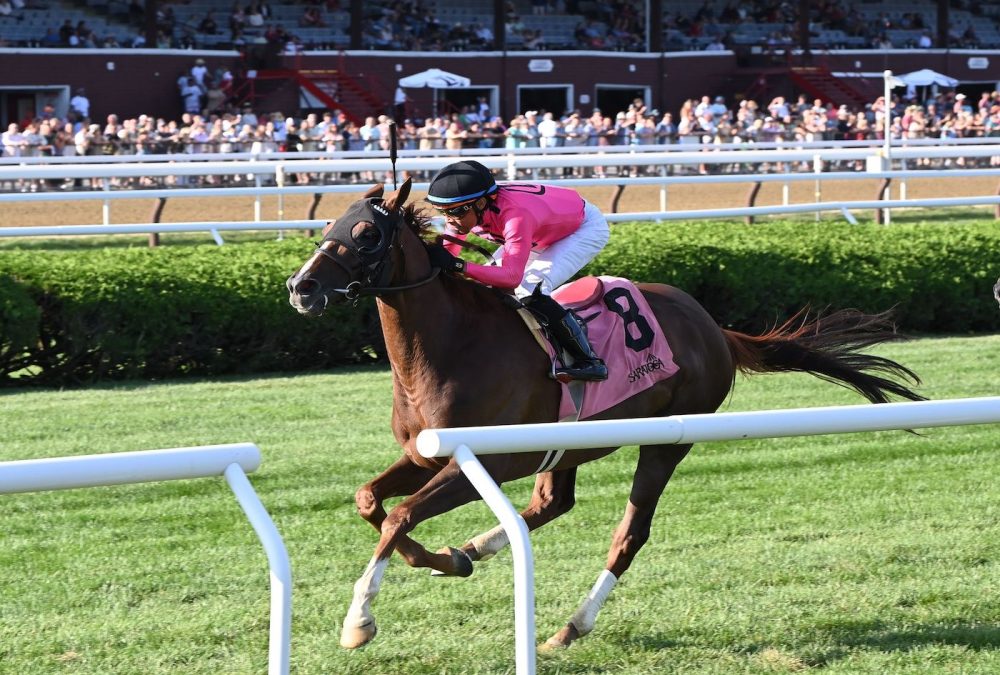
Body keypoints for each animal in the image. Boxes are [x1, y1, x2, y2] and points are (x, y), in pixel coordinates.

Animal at [284, 178, 920, 648]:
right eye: (328, 225)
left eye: (366, 233)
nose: (301, 287)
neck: (451, 343)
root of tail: (714, 327)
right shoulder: (425, 454)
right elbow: (372, 502)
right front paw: (442, 560)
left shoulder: (486, 458)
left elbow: (400, 515)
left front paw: (359, 621)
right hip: (570, 445)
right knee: (551, 503)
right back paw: (472, 550)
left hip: (666, 442)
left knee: (628, 534)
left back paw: (570, 626)